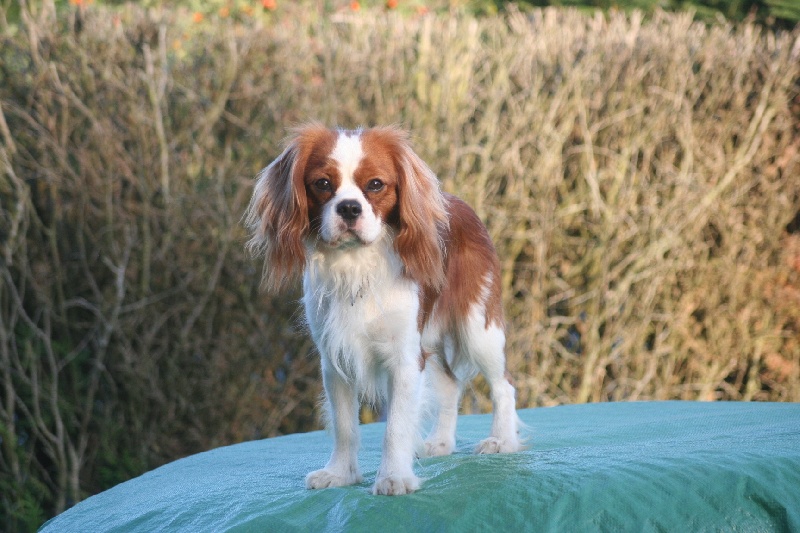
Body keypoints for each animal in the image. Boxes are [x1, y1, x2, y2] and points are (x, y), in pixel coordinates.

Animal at [247, 124, 520, 494]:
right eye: (323, 183)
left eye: (375, 184)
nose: (349, 208)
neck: (355, 264)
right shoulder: (335, 359)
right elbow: (345, 426)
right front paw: (340, 474)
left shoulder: (404, 358)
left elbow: (396, 427)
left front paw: (394, 477)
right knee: (450, 384)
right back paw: (442, 443)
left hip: (477, 328)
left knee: (503, 384)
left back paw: (502, 440)